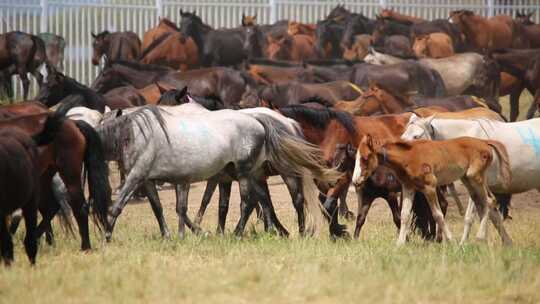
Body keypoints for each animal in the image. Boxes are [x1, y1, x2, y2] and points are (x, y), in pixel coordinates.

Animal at [352, 134, 512, 246]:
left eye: (365, 158)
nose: (355, 181)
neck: (408, 156)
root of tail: (484, 142)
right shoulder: (408, 187)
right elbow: (404, 215)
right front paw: (400, 243)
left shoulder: (429, 187)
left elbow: (437, 215)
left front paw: (450, 240)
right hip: (468, 179)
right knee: (486, 203)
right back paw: (504, 242)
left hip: (475, 177)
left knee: (488, 202)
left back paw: (479, 238)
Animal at [400, 114, 540, 245]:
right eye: (402, 137)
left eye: (417, 136)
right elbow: (493, 216)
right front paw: (505, 243)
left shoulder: (477, 185)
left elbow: (472, 216)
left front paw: (465, 243)